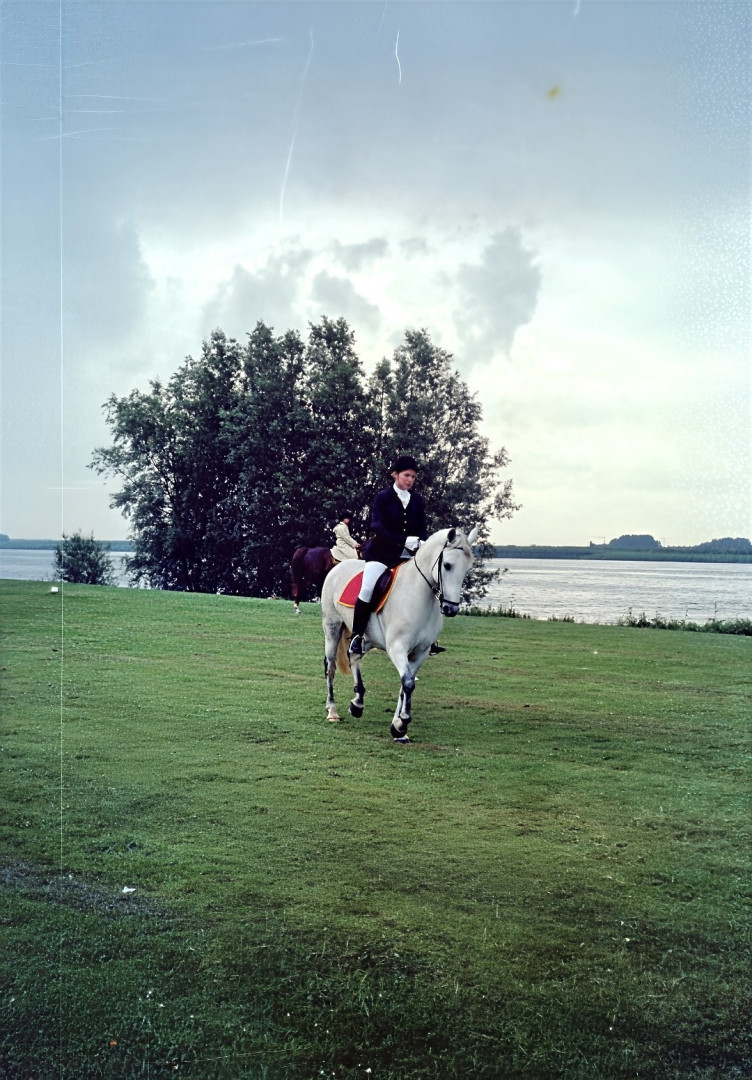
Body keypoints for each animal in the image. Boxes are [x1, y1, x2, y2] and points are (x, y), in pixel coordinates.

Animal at [320, 526, 478, 742]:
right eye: (447, 565)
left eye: (468, 568)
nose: (450, 608)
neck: (419, 596)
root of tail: (338, 567)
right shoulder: (397, 648)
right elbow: (408, 683)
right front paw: (403, 722)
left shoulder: (420, 652)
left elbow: (405, 685)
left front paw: (397, 727)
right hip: (332, 627)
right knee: (331, 666)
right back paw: (332, 711)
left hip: (365, 638)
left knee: (353, 655)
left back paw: (357, 703)